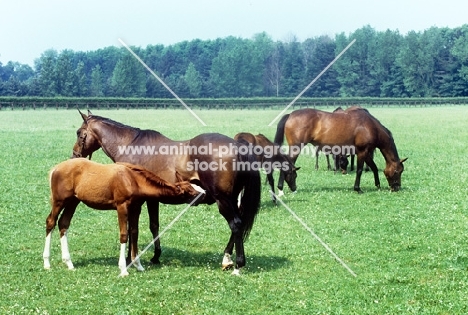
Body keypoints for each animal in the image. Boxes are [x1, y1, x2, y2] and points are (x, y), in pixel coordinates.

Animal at [41, 159, 200, 276]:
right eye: (190, 191)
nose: (203, 192)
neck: (132, 179)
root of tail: (55, 169)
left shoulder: (136, 208)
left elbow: (134, 233)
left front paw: (138, 265)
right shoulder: (121, 206)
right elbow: (124, 235)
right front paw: (123, 269)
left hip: (73, 202)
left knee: (63, 224)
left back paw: (69, 262)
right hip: (59, 201)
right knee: (51, 222)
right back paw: (47, 262)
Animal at [73, 111, 264, 276]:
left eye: (79, 133)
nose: (75, 154)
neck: (129, 146)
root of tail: (238, 146)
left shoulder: (138, 201)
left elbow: (135, 227)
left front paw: (132, 258)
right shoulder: (152, 200)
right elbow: (154, 225)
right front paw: (155, 256)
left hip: (223, 200)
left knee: (236, 224)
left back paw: (237, 264)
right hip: (231, 199)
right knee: (238, 225)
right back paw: (227, 259)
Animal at [274, 108, 406, 193]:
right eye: (397, 171)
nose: (396, 188)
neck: (370, 127)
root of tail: (290, 115)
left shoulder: (366, 152)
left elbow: (373, 167)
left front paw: (377, 185)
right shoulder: (362, 152)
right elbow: (359, 170)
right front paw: (357, 188)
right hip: (296, 148)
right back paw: (282, 187)